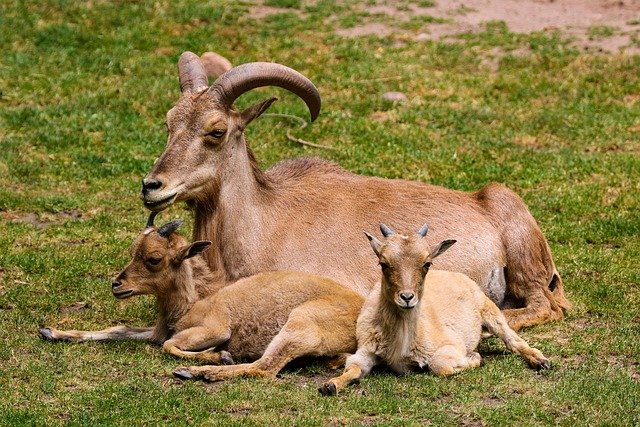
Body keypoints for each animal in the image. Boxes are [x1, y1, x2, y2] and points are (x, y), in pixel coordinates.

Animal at [40, 213, 363, 373]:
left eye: (154, 258)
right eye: (133, 250)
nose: (117, 285)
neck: (192, 302)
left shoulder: (214, 328)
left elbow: (170, 345)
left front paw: (218, 355)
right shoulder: (157, 330)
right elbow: (119, 329)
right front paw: (52, 332)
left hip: (298, 325)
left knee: (263, 368)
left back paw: (199, 372)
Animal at [140, 51, 569, 330]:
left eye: (216, 130)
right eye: (169, 122)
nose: (151, 186)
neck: (261, 224)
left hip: (524, 262)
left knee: (543, 306)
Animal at [319, 224, 550, 396]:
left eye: (427, 263)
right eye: (383, 263)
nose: (407, 298)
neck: (402, 344)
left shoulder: (451, 345)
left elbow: (440, 365)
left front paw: (475, 358)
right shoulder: (366, 350)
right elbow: (354, 367)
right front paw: (330, 385)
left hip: (489, 309)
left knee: (513, 340)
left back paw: (541, 361)